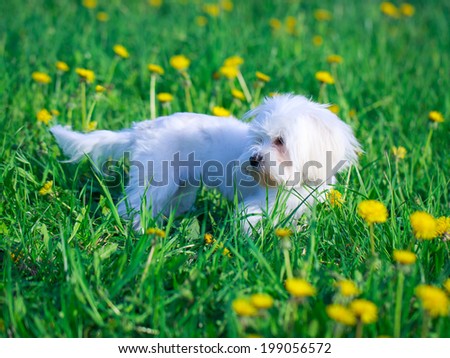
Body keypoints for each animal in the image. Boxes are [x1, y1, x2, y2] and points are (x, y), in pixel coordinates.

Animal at [51, 93, 360, 232]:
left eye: (280, 141)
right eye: (258, 138)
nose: (253, 159)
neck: (293, 184)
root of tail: (143, 128)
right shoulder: (256, 206)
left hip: (182, 188)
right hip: (157, 180)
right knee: (135, 206)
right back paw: (138, 231)